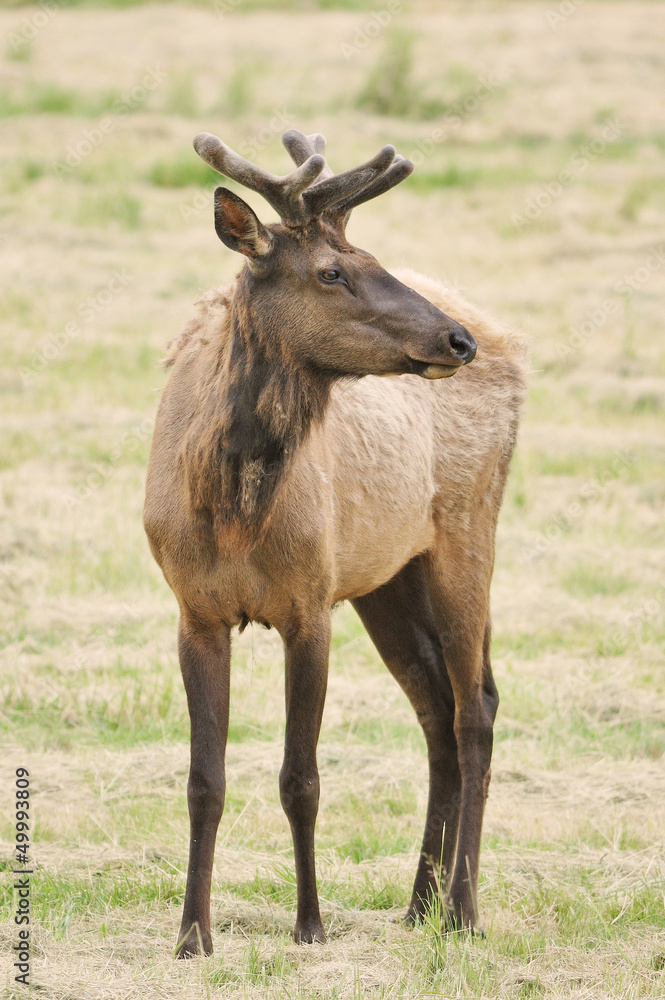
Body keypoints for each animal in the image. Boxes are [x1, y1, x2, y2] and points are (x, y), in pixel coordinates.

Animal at [143, 128, 527, 957]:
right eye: (331, 270)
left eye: (373, 257)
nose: (456, 340)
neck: (232, 510)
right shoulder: (194, 609)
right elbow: (203, 779)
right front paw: (192, 935)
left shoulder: (310, 603)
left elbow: (301, 776)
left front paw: (310, 925)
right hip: (387, 577)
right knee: (434, 708)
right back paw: (416, 903)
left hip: (467, 531)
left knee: (475, 705)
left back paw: (462, 909)